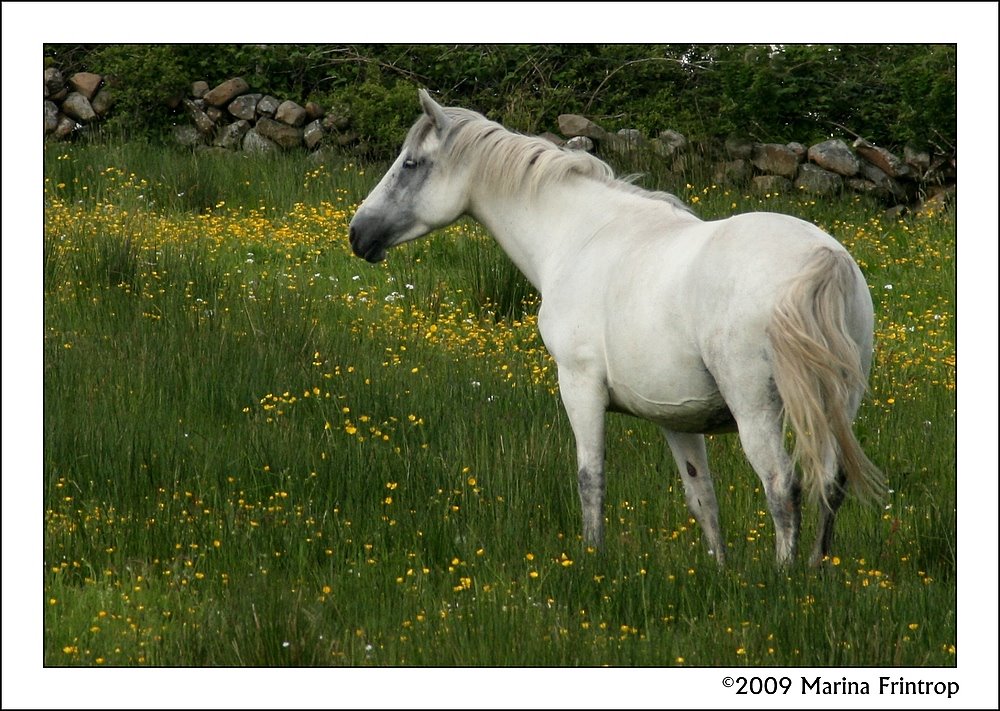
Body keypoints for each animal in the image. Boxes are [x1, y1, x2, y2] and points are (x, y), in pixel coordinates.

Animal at [352, 90, 884, 568]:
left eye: (411, 164)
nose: (358, 234)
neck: (579, 236)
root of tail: (823, 257)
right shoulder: (677, 419)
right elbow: (702, 499)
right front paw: (720, 572)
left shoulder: (580, 386)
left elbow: (591, 479)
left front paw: (593, 560)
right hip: (836, 405)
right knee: (830, 483)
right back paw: (815, 573)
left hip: (757, 412)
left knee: (782, 488)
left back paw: (784, 580)